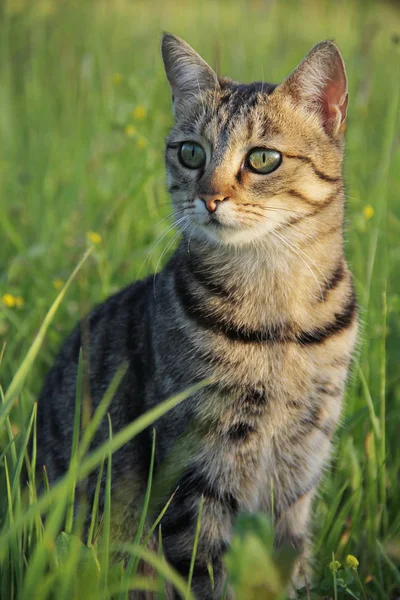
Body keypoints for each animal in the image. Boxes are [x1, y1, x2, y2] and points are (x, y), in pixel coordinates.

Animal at [36, 34, 356, 600]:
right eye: (191, 153)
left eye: (263, 158)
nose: (209, 197)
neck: (279, 320)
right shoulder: (196, 467)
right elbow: (203, 568)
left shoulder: (301, 464)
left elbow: (288, 563)